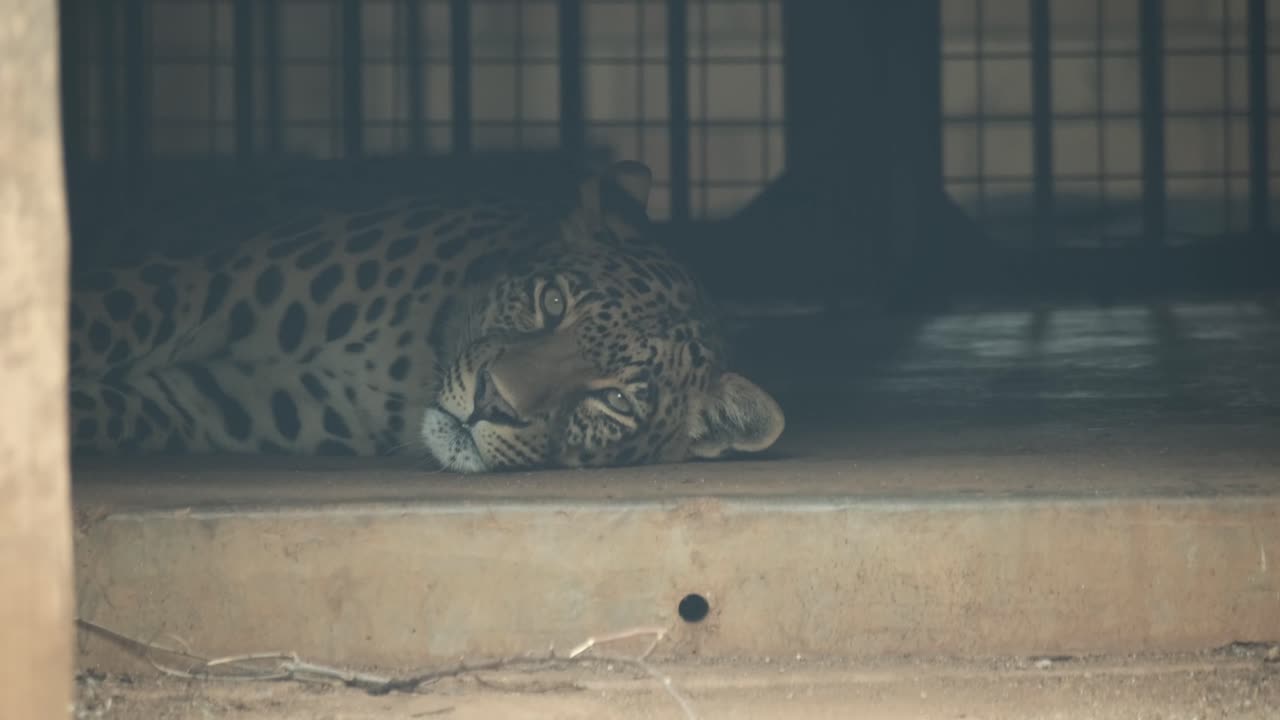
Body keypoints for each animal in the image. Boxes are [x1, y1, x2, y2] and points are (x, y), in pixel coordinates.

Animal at [67, 160, 786, 472]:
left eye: (614, 401)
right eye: (552, 302)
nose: (492, 402)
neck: (407, 358)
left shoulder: (219, 399)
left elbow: (107, 405)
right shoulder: (214, 282)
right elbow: (99, 319)